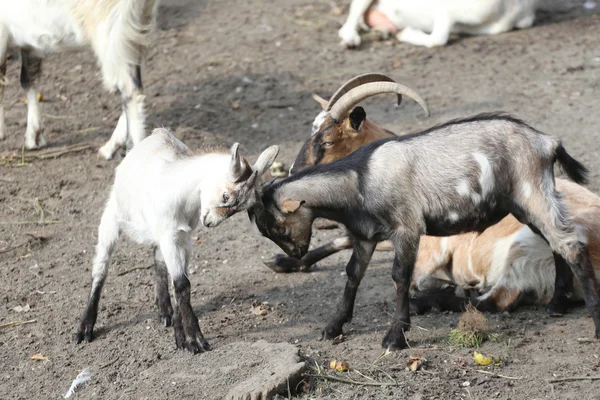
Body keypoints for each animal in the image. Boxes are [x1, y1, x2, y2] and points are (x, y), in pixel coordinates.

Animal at [0, 0, 159, 159]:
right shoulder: (29, 42)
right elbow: (28, 79)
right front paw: (34, 137)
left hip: (110, 27)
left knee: (131, 91)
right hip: (136, 26)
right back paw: (110, 148)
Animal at [77, 129, 278, 354]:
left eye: (240, 208)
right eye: (226, 196)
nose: (210, 222)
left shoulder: (183, 238)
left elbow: (181, 284)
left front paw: (181, 336)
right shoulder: (168, 235)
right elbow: (181, 283)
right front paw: (194, 339)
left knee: (158, 259)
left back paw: (165, 310)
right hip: (112, 217)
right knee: (101, 267)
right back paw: (85, 327)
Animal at [246, 86, 596, 346]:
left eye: (278, 227)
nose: (296, 252)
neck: (360, 178)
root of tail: (547, 142)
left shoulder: (408, 228)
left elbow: (400, 275)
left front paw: (395, 336)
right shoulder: (366, 235)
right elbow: (353, 273)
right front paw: (334, 327)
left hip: (531, 193)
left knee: (569, 245)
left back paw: (593, 323)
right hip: (523, 207)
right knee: (555, 244)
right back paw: (556, 304)